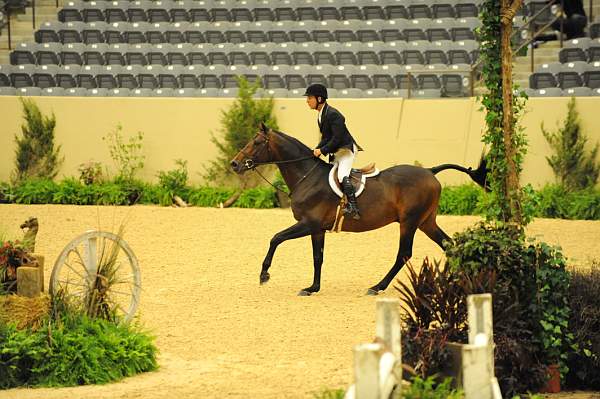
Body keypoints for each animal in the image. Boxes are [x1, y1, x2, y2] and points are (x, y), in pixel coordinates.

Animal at [230, 124, 488, 296]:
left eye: (256, 143)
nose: (234, 164)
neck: (307, 177)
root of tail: (430, 171)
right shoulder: (317, 229)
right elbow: (317, 257)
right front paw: (313, 288)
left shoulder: (308, 223)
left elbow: (276, 238)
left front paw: (264, 274)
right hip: (426, 222)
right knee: (449, 245)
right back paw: (461, 279)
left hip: (409, 222)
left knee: (404, 254)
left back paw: (377, 287)